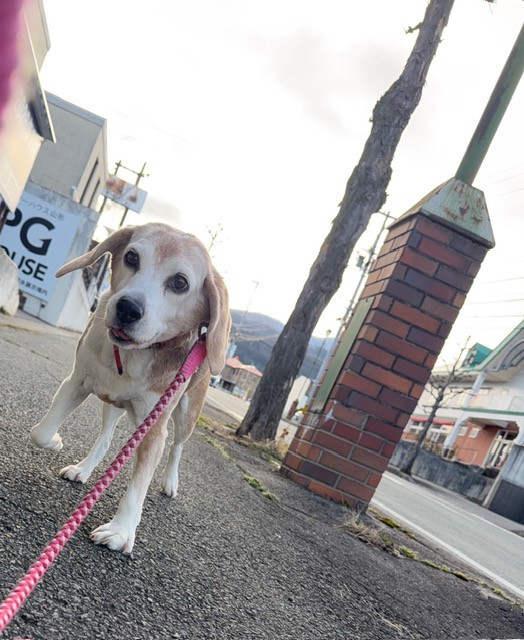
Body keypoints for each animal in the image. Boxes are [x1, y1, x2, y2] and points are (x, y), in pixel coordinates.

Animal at [30, 223, 230, 553]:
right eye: (132, 257)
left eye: (180, 283)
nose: (127, 308)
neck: (132, 355)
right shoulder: (76, 381)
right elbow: (41, 432)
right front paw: (56, 441)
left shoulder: (154, 428)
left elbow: (138, 487)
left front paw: (120, 531)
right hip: (111, 403)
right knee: (105, 440)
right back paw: (84, 469)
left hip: (187, 414)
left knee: (177, 446)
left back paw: (170, 481)